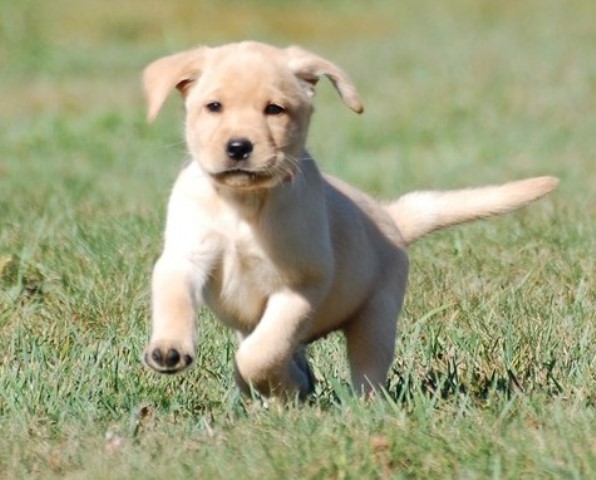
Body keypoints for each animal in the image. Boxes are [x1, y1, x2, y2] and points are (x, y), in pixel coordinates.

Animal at [141, 41, 560, 398]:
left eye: (274, 109)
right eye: (213, 106)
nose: (239, 147)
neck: (244, 206)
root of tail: (391, 218)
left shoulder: (300, 286)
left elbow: (261, 353)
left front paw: (283, 385)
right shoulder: (184, 257)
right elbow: (176, 301)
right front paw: (169, 348)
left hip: (376, 318)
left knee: (366, 372)